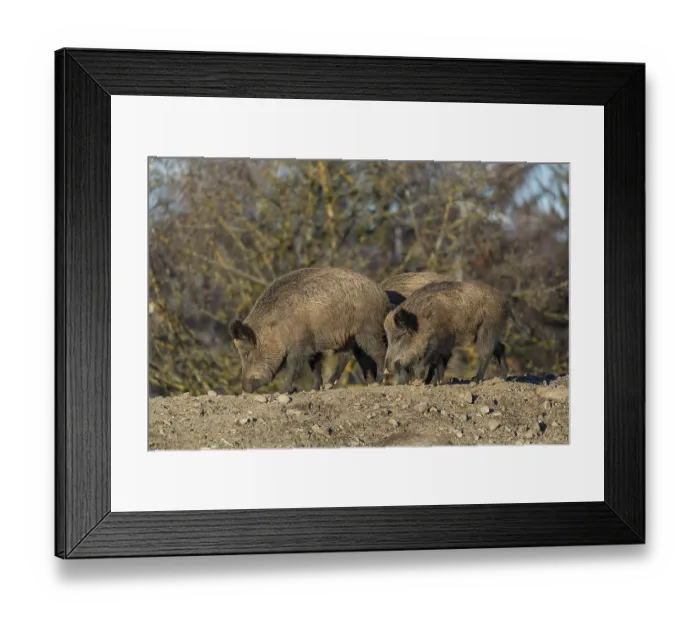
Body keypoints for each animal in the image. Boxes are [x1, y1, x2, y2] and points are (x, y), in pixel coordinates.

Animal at [229, 267, 388, 393]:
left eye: (247, 354)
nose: (245, 388)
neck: (275, 328)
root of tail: (382, 294)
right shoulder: (313, 347)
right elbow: (315, 367)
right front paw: (315, 389)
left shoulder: (301, 346)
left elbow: (294, 367)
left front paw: (281, 391)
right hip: (347, 337)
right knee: (345, 356)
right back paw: (328, 385)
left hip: (368, 330)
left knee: (379, 351)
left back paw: (378, 382)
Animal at [383, 281, 514, 385]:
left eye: (400, 336)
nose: (388, 367)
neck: (422, 322)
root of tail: (505, 301)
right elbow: (437, 362)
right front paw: (430, 382)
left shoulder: (442, 339)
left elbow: (435, 360)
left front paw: (429, 380)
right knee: (500, 347)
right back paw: (502, 377)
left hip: (488, 327)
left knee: (486, 352)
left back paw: (476, 380)